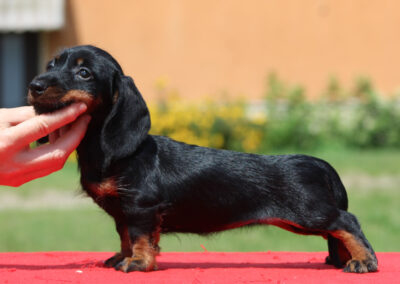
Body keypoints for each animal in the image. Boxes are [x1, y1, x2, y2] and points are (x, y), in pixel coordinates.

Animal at [28, 45, 378, 272]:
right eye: (51, 65)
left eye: (84, 72)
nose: (34, 85)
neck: (106, 148)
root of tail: (318, 162)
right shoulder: (123, 212)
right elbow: (126, 236)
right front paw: (122, 257)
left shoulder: (140, 207)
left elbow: (139, 237)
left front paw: (138, 263)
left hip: (308, 213)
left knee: (346, 221)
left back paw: (363, 261)